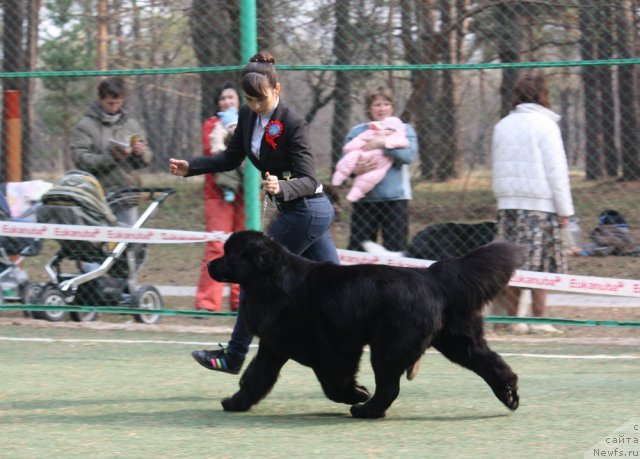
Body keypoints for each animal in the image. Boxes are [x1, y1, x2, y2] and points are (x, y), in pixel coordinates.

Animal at [208, 232, 524, 418]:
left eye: (229, 253)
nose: (210, 264)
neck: (270, 279)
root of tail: (431, 276)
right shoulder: (273, 347)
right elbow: (254, 377)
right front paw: (235, 402)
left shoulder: (332, 351)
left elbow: (333, 384)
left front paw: (358, 392)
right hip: (458, 341)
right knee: (493, 364)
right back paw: (509, 395)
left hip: (389, 347)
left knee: (389, 387)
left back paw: (365, 409)